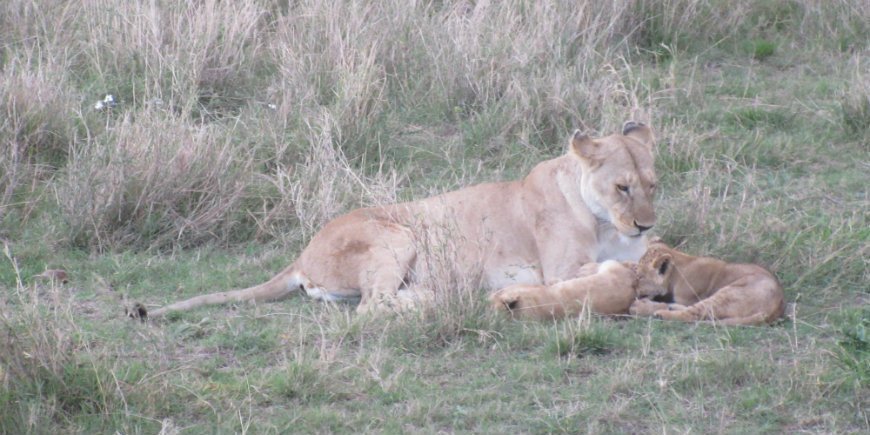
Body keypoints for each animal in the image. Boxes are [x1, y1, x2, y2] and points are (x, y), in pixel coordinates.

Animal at [629, 239, 785, 326]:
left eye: (640, 277)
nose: (633, 288)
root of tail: (777, 307)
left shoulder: (688, 297)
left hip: (727, 294)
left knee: (693, 314)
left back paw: (651, 311)